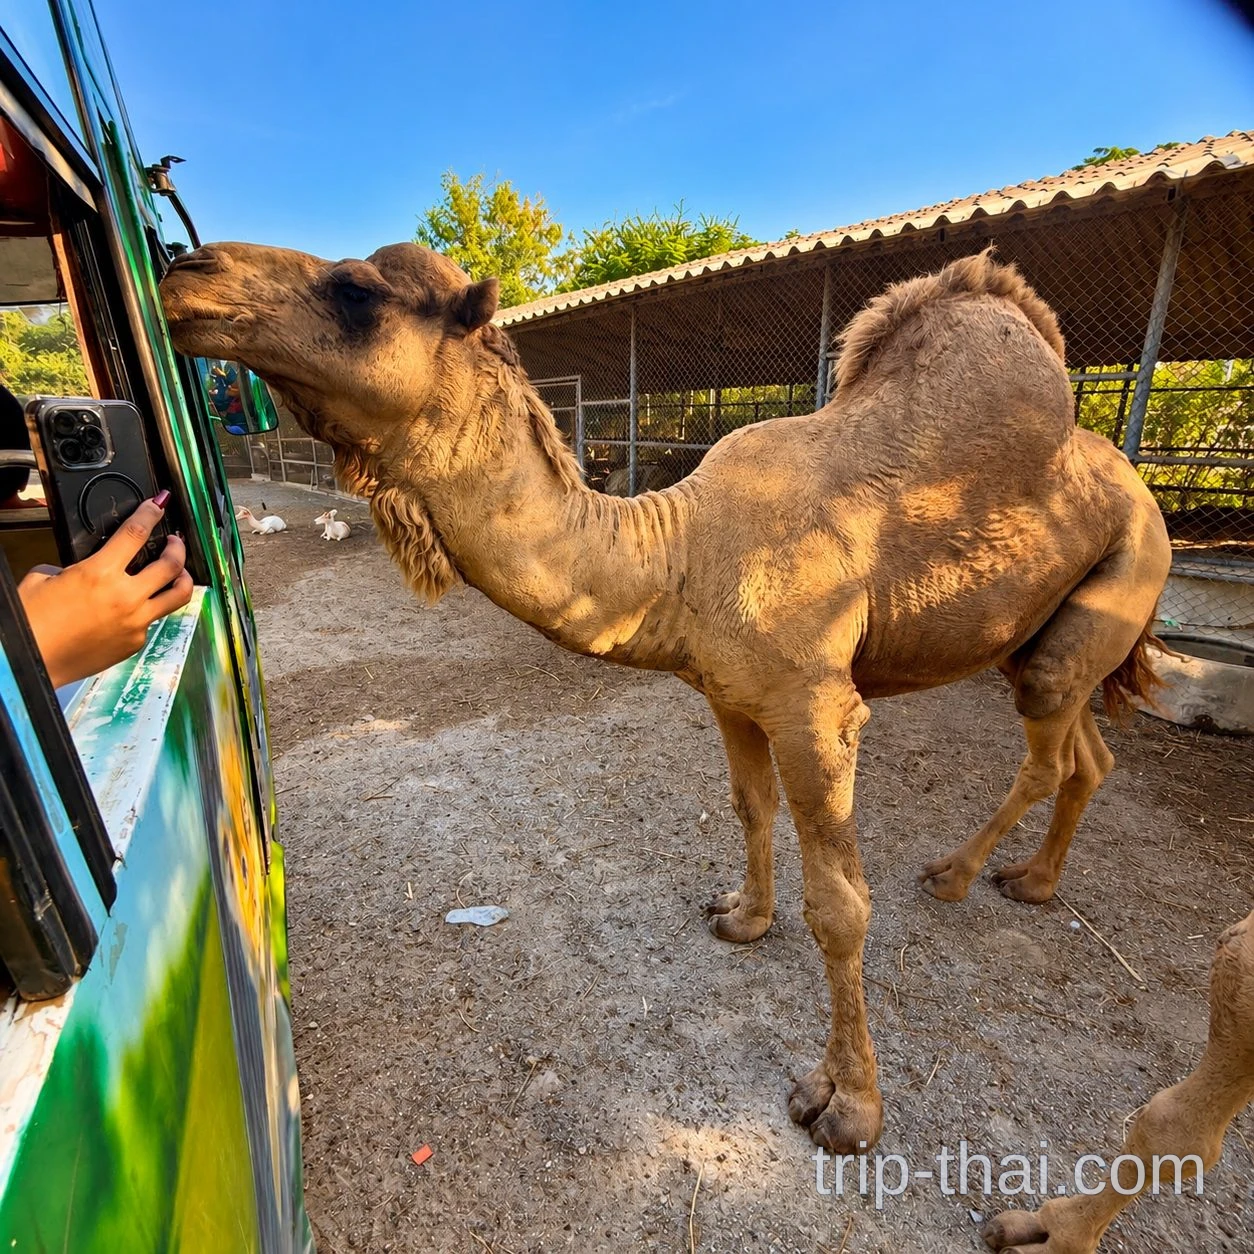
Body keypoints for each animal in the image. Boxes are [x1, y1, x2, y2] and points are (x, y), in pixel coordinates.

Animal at [161, 243, 1172, 1153]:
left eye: (356, 289)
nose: (183, 271)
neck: (680, 554)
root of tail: (1140, 486)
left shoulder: (815, 706)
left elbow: (841, 905)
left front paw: (848, 1107)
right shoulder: (730, 693)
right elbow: (750, 807)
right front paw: (742, 920)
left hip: (1114, 583)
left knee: (1051, 750)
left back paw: (958, 875)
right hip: (1046, 633)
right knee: (1087, 752)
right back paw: (1030, 882)